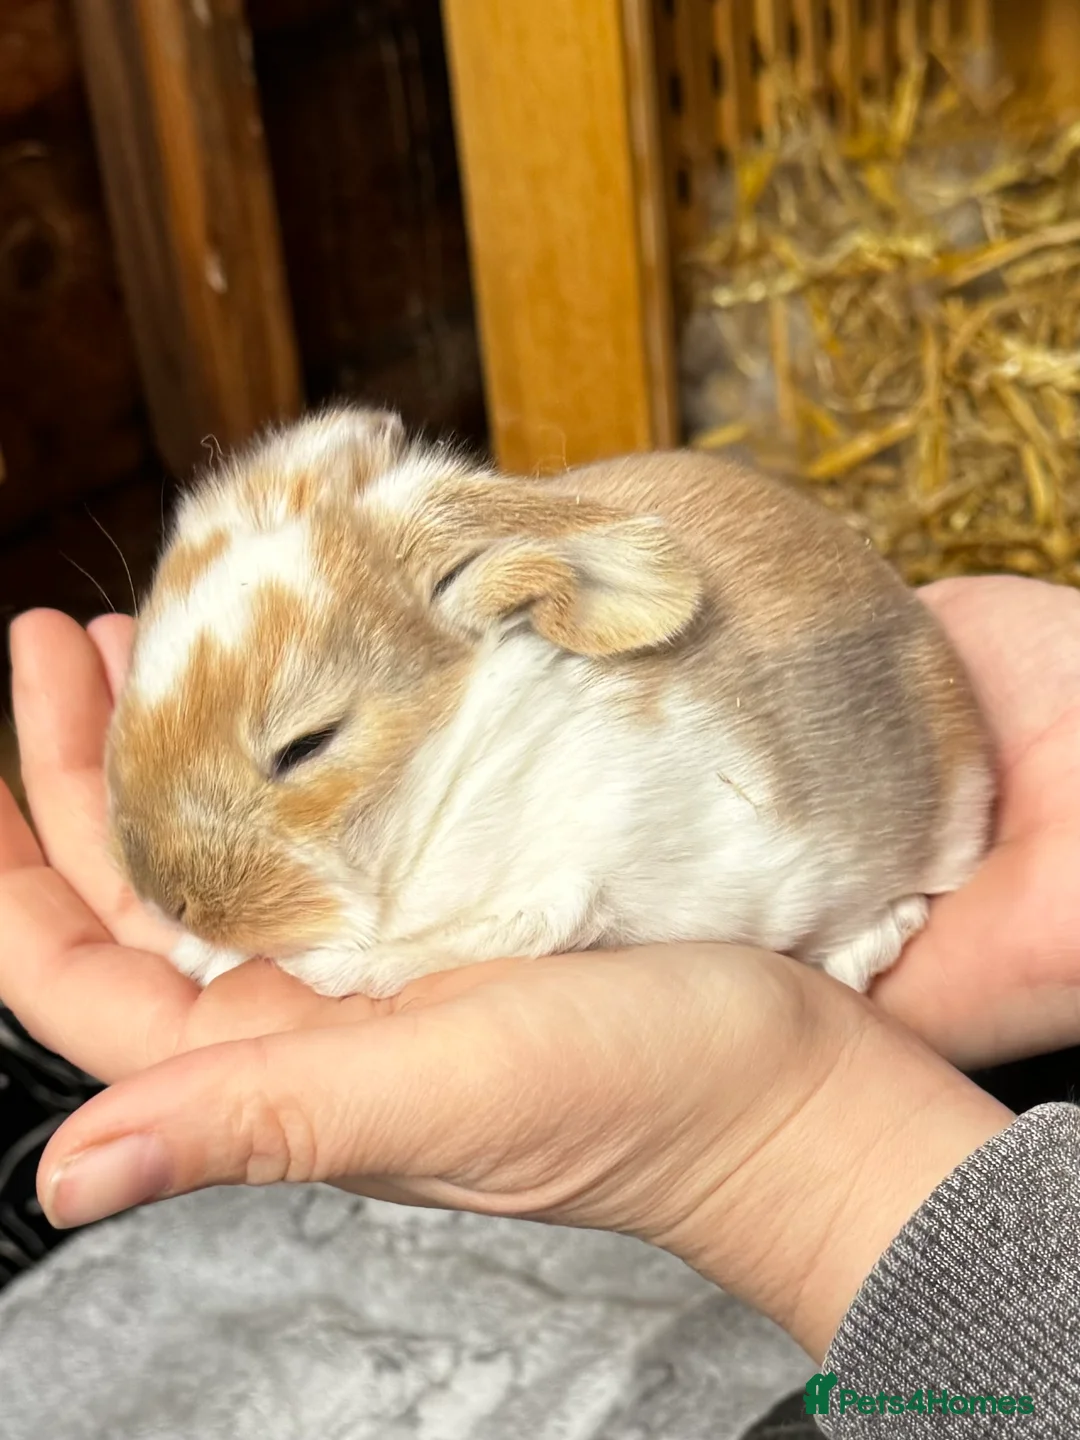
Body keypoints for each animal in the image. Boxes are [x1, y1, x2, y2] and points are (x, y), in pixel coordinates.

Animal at [105, 405, 994, 999]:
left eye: (305, 744)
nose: (168, 900)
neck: (450, 757)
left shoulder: (569, 883)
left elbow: (496, 933)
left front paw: (305, 967)